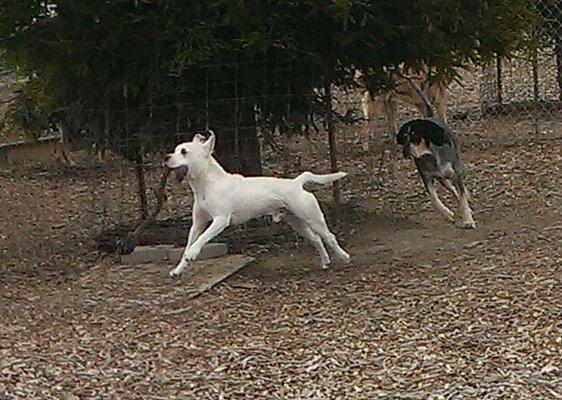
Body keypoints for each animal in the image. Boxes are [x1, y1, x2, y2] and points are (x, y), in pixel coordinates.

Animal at [161, 133, 350, 276]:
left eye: (184, 151)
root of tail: (297, 182)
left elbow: (201, 239)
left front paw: (193, 253)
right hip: (297, 223)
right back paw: (325, 261)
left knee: (329, 237)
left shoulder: (220, 220)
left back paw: (343, 256)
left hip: (313, 218)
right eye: (175, 149)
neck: (207, 184)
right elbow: (189, 244)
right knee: (316, 239)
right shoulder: (198, 224)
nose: (166, 157)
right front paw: (179, 269)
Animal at [394, 80, 472, 228]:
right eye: (405, 136)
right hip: (442, 179)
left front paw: (468, 220)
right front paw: (447, 213)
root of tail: (430, 117)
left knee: (458, 191)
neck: (429, 156)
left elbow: (462, 198)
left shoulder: (455, 173)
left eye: (415, 135)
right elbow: (434, 199)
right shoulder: (427, 177)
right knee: (452, 189)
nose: (405, 151)